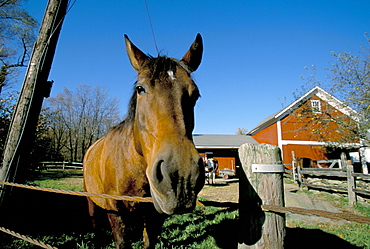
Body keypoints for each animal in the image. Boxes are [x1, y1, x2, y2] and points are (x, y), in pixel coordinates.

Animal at [83, 34, 205, 248]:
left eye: (195, 94)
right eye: (140, 89)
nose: (182, 178)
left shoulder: (155, 217)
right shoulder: (116, 214)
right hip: (92, 201)